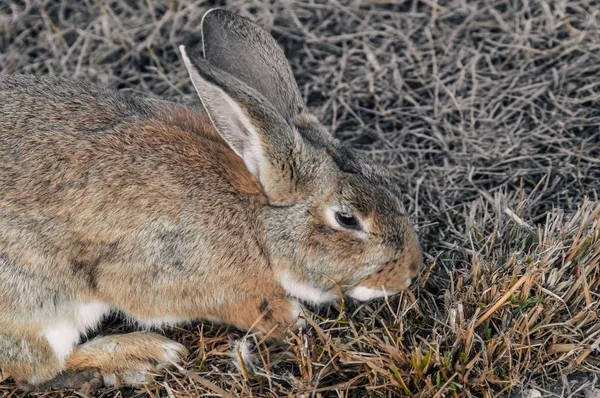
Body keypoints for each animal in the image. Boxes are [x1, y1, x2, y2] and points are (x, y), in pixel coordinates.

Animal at [0, 7, 422, 394]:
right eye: (347, 219)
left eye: (388, 181)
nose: (411, 270)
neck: (256, 223)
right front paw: (291, 318)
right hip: (43, 306)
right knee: (38, 368)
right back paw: (146, 354)